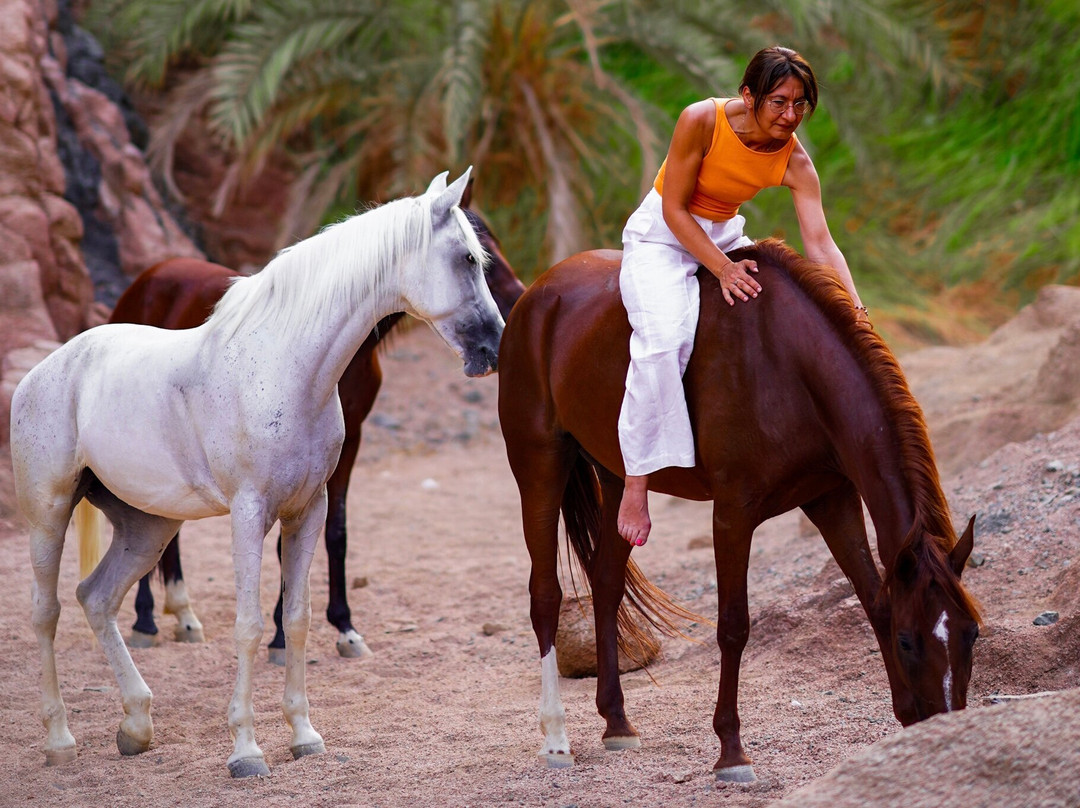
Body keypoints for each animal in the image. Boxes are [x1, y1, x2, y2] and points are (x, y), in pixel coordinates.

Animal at [107, 185, 526, 664]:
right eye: (475, 258)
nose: (513, 315)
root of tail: (149, 278)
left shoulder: (347, 446)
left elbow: (336, 533)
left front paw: (344, 627)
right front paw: (280, 634)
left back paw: (183, 614)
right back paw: (146, 619)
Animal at [497, 239, 981, 781]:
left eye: (971, 635)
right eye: (908, 642)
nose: (944, 732)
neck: (789, 365)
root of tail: (538, 293)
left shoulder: (832, 499)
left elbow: (874, 601)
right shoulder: (732, 513)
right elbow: (733, 626)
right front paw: (731, 750)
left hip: (619, 479)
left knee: (605, 584)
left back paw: (617, 722)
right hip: (539, 466)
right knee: (545, 596)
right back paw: (556, 737)